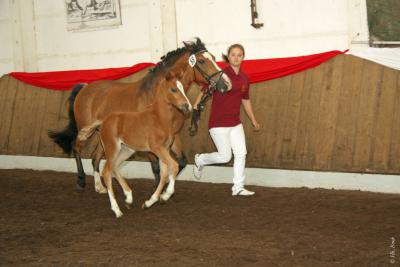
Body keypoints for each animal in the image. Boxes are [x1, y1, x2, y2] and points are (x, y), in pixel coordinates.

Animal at [77, 75, 192, 218]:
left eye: (183, 88)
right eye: (173, 89)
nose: (187, 106)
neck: (159, 118)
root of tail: (104, 120)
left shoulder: (164, 149)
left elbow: (164, 174)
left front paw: (150, 202)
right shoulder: (157, 148)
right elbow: (174, 166)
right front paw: (166, 196)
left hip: (126, 150)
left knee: (114, 167)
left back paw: (128, 197)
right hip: (112, 148)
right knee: (107, 171)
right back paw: (117, 210)